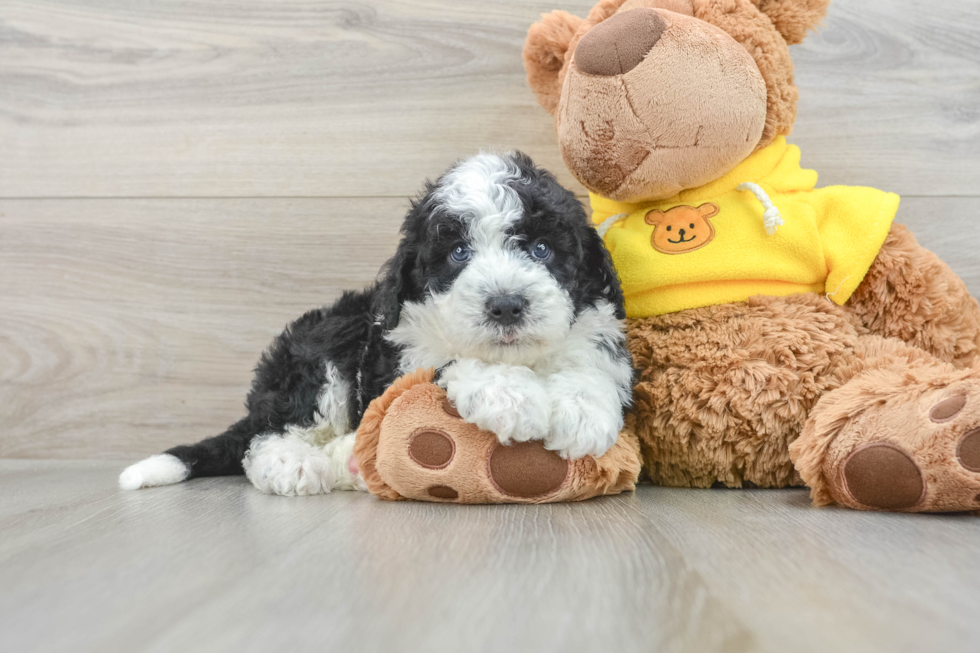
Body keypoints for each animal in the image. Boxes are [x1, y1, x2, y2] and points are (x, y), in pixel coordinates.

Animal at [118, 152, 636, 494]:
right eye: (458, 253)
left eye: (542, 249)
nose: (506, 305)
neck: (518, 358)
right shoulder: (400, 354)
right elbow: (451, 363)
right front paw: (511, 396)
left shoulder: (598, 333)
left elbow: (592, 367)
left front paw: (582, 412)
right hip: (320, 352)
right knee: (268, 434)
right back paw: (294, 464)